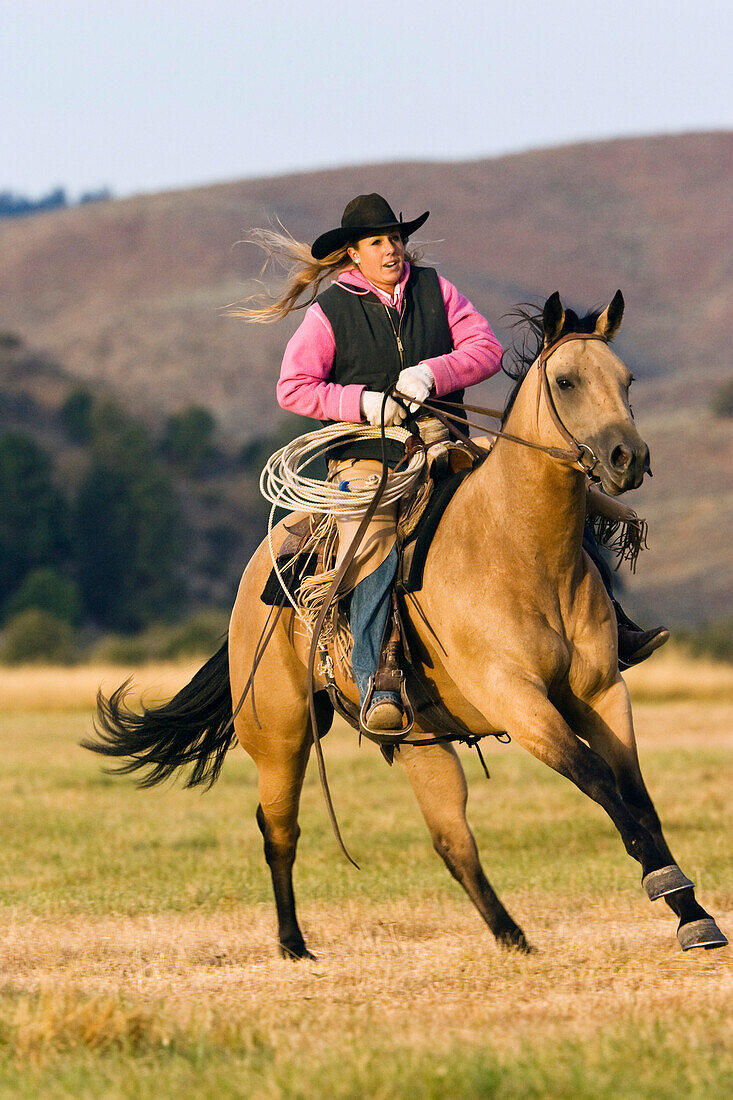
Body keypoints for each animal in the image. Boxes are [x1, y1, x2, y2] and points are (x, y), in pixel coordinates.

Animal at [86, 290, 726, 954]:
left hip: (421, 742)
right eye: (566, 381)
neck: (522, 552)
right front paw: (669, 889)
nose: (629, 458)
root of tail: (263, 567)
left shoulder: (601, 692)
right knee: (278, 828)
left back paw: (512, 937)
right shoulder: (519, 703)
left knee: (451, 839)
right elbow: (600, 781)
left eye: (626, 381)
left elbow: (636, 794)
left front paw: (692, 914)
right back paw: (293, 943)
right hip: (280, 736)